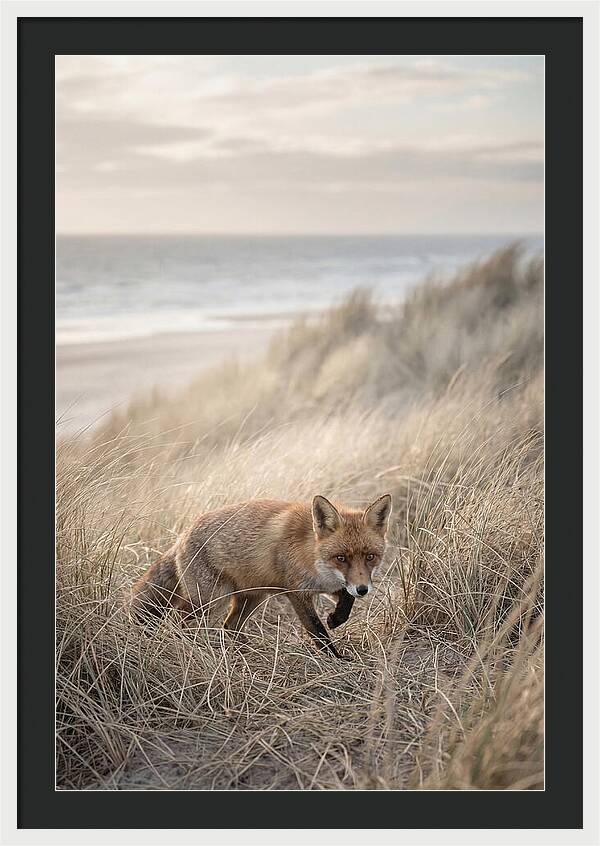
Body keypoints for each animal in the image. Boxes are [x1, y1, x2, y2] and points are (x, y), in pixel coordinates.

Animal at [130, 493, 392, 659]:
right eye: (341, 558)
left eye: (370, 556)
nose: (363, 590)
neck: (312, 554)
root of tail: (182, 535)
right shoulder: (296, 592)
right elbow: (317, 630)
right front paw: (336, 659)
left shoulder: (332, 585)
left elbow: (346, 601)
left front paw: (336, 619)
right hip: (212, 600)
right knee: (179, 620)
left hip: (252, 597)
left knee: (230, 625)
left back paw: (244, 652)